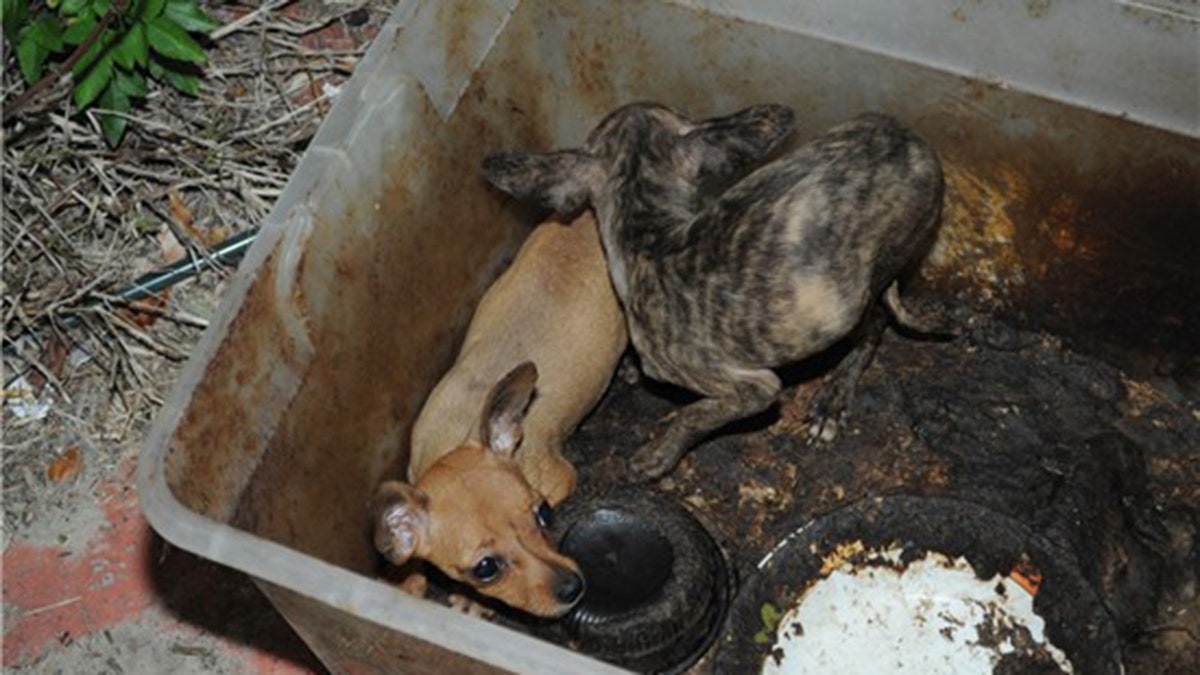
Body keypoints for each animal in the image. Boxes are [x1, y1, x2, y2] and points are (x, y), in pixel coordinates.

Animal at [372, 211, 628, 614]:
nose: (572, 587)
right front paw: (404, 580)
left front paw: (474, 602)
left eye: (545, 513)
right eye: (486, 568)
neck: (454, 435)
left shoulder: (559, 481)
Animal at [482, 102, 940, 475]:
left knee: (876, 324)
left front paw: (657, 456)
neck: (648, 232)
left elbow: (691, 417)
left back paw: (833, 401)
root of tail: (917, 143)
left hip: (861, 295)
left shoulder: (754, 388)